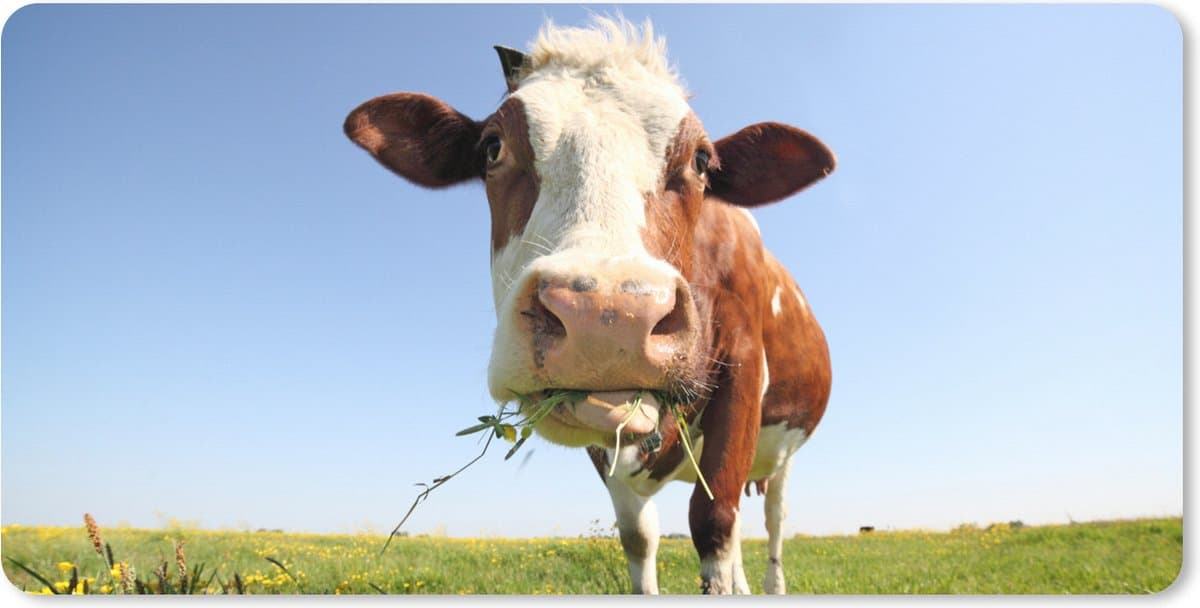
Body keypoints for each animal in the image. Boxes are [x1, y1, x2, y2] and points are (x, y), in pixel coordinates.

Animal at [343, 17, 833, 594]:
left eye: (701, 160)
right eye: (492, 147)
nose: (607, 317)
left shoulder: (743, 369)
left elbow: (714, 520)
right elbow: (640, 537)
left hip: (780, 453)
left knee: (771, 519)